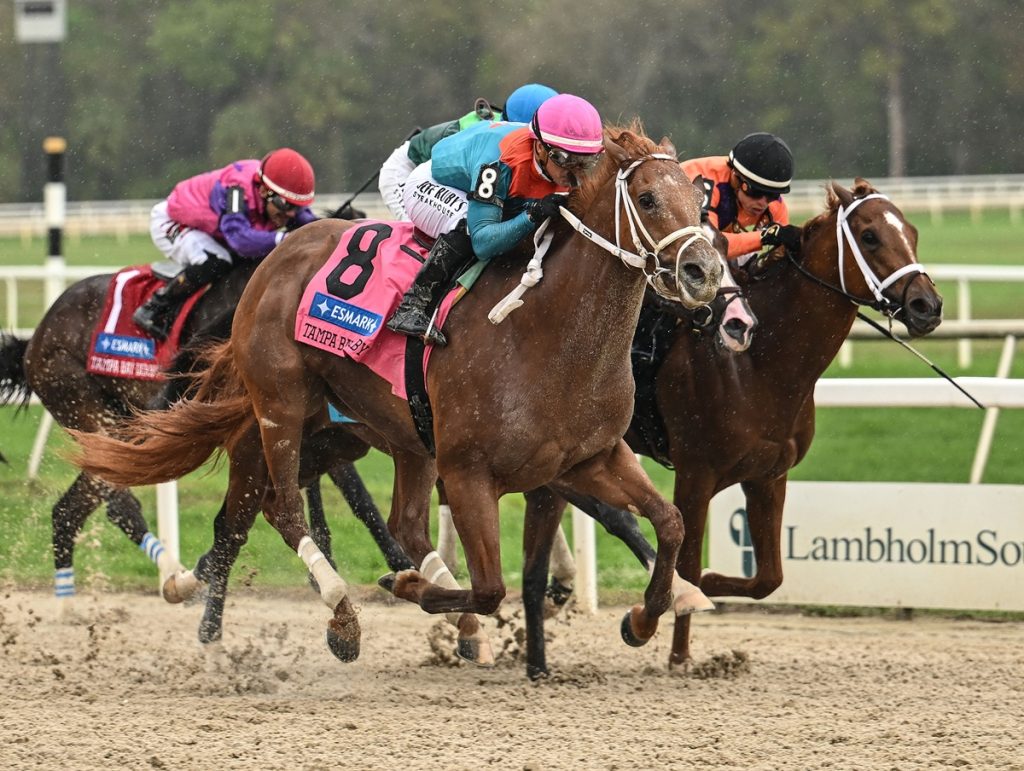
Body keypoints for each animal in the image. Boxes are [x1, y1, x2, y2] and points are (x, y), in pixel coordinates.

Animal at [72, 123, 725, 666]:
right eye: (647, 199)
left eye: (699, 201)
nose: (706, 273)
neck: (545, 333)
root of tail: (277, 257)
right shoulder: (468, 471)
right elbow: (491, 586)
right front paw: (412, 588)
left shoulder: (591, 457)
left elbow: (668, 522)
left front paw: (644, 617)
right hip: (282, 408)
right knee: (282, 509)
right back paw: (341, 616)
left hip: (378, 436)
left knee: (342, 518)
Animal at [518, 178, 943, 674]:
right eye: (871, 236)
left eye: (911, 231)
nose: (927, 305)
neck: (758, 363)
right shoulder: (696, 473)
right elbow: (686, 561)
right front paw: (671, 645)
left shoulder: (768, 475)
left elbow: (767, 578)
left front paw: (702, 594)